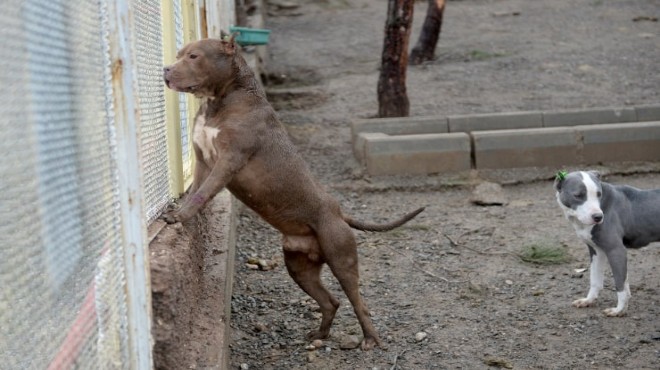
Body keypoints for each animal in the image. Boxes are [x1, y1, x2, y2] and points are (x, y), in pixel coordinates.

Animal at [162, 36, 426, 352]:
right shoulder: (203, 160)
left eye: (193, 56)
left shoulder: (227, 161)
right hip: (299, 267)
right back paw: (320, 335)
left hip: (342, 260)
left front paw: (179, 216)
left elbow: (202, 194)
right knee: (331, 301)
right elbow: (195, 191)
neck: (222, 99)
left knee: (358, 302)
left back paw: (370, 339)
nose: (165, 69)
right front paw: (179, 211)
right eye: (179, 54)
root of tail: (340, 213)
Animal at [556, 171, 660, 316]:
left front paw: (619, 310)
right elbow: (596, 280)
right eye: (578, 195)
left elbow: (620, 284)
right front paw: (589, 300)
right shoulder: (596, 251)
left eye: (598, 194)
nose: (598, 217)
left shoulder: (616, 250)